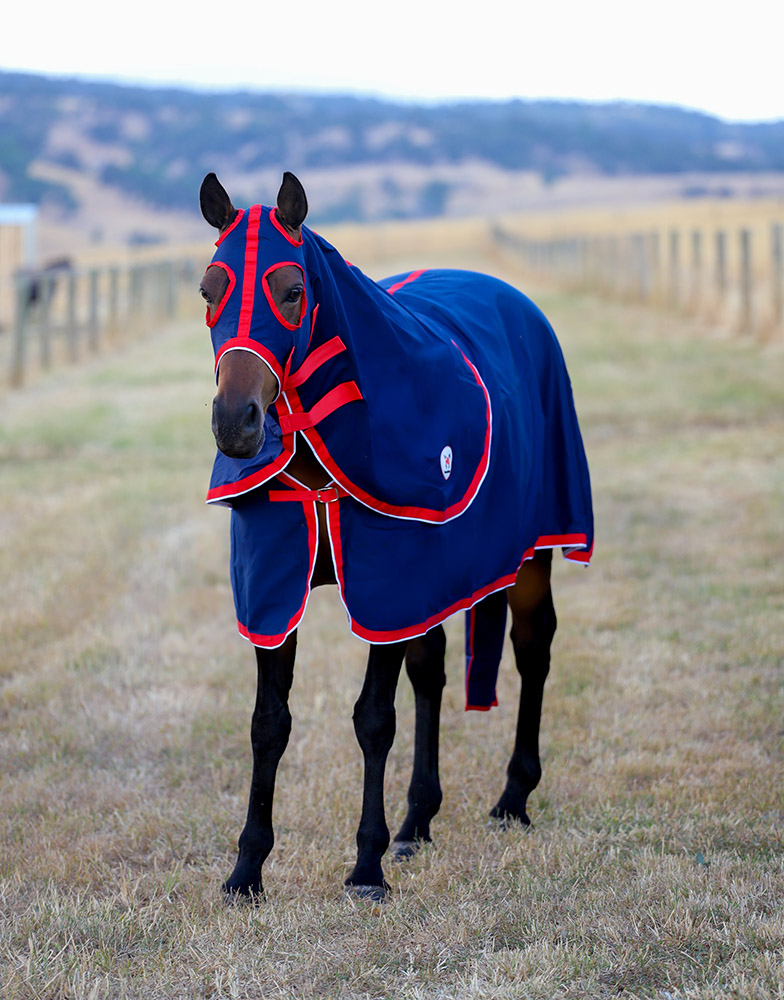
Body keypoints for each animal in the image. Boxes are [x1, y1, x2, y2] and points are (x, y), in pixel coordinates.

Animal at [198, 171, 593, 901]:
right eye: (209, 290)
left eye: (292, 289)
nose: (236, 423)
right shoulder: (275, 587)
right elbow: (269, 724)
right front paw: (247, 869)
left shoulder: (386, 582)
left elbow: (373, 719)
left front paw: (365, 865)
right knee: (432, 671)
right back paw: (418, 820)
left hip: (531, 553)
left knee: (532, 650)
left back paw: (513, 797)